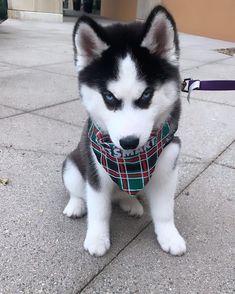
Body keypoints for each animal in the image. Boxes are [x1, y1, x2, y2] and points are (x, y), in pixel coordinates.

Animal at [61, 5, 186, 256]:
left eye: (146, 94)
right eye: (109, 97)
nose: (129, 142)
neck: (131, 163)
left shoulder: (168, 166)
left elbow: (165, 210)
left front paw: (169, 235)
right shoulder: (95, 170)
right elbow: (99, 209)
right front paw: (97, 238)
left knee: (122, 196)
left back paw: (131, 203)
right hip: (73, 164)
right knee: (78, 190)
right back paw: (76, 204)